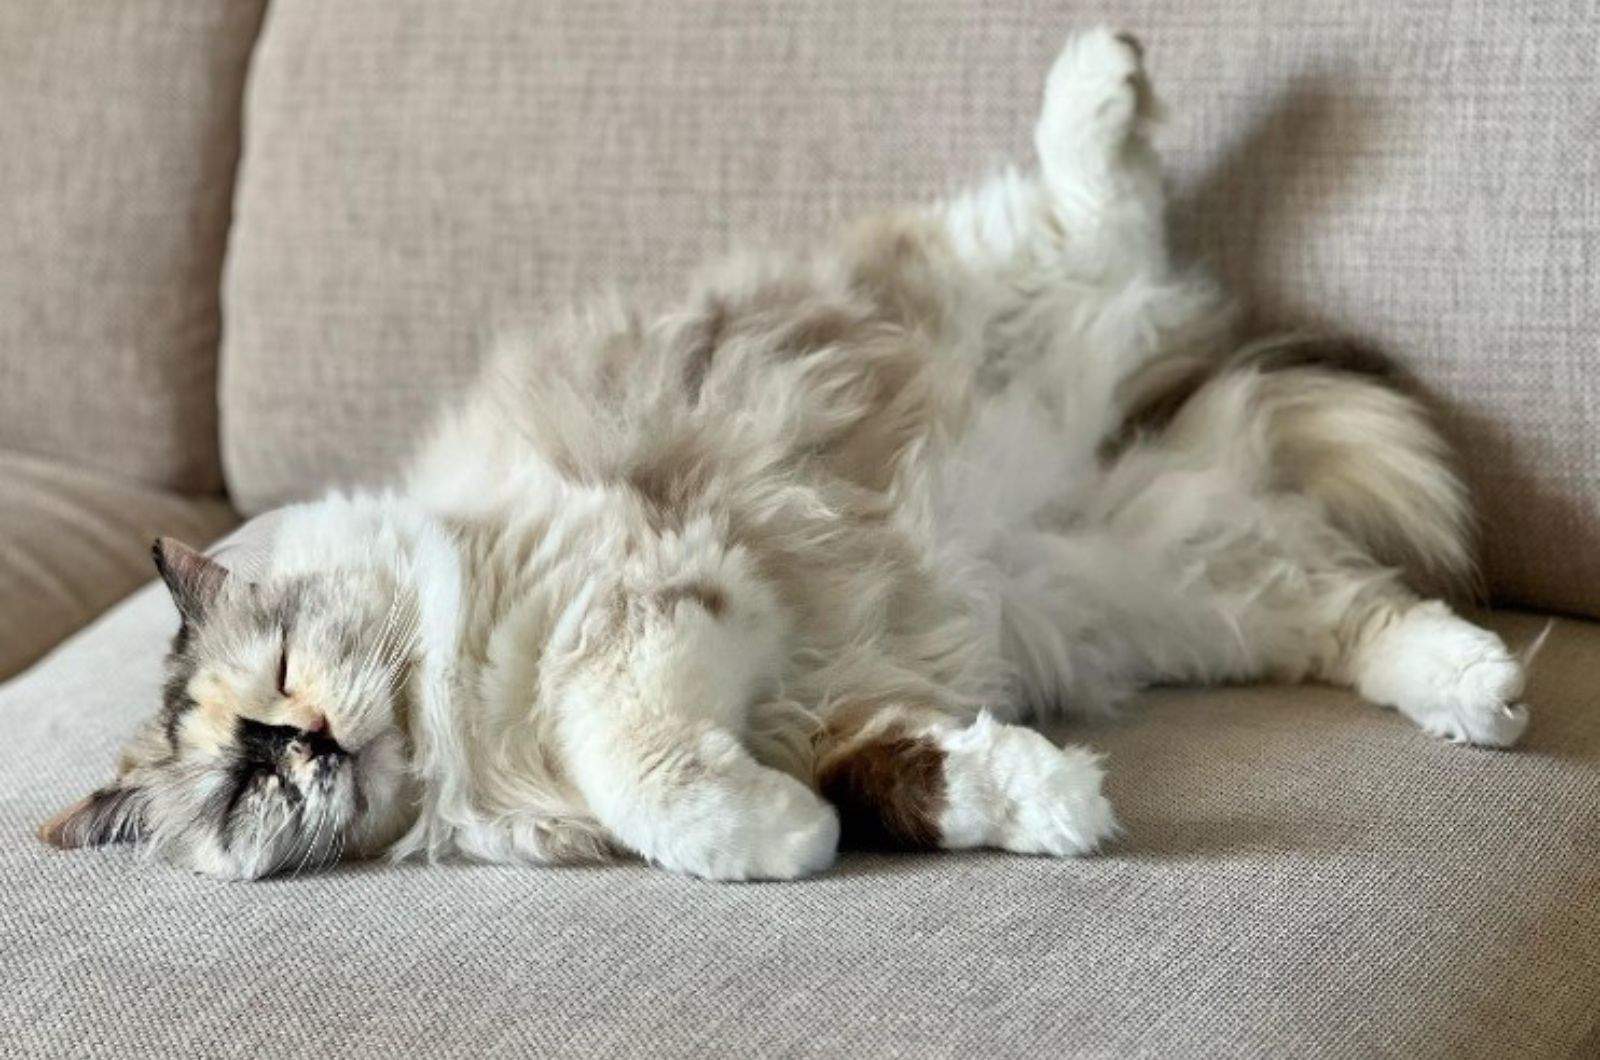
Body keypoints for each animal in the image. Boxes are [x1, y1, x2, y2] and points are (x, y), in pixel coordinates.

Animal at [43, 29, 1529, 883]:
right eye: (243, 787)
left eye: (284, 681)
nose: (300, 745)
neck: (466, 748)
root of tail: (1087, 453)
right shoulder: (825, 709)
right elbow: (904, 789)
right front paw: (1051, 806)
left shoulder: (637, 602)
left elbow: (650, 781)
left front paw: (775, 843)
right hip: (1176, 596)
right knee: (1366, 614)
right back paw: (1484, 692)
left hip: (995, 290)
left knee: (1089, 204)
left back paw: (1105, 73)